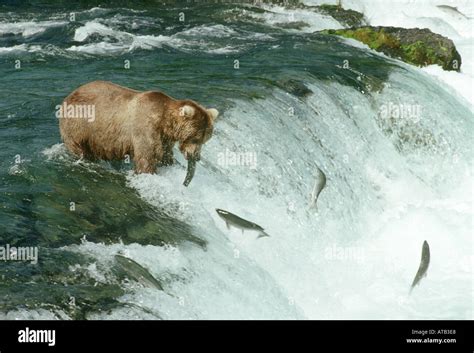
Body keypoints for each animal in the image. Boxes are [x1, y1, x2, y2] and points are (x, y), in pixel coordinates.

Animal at [57, 80, 218, 175]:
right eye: (195, 138)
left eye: (205, 140)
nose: (196, 157)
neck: (165, 122)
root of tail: (69, 95)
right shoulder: (145, 128)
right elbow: (146, 157)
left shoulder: (165, 138)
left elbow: (165, 155)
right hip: (79, 125)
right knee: (79, 147)